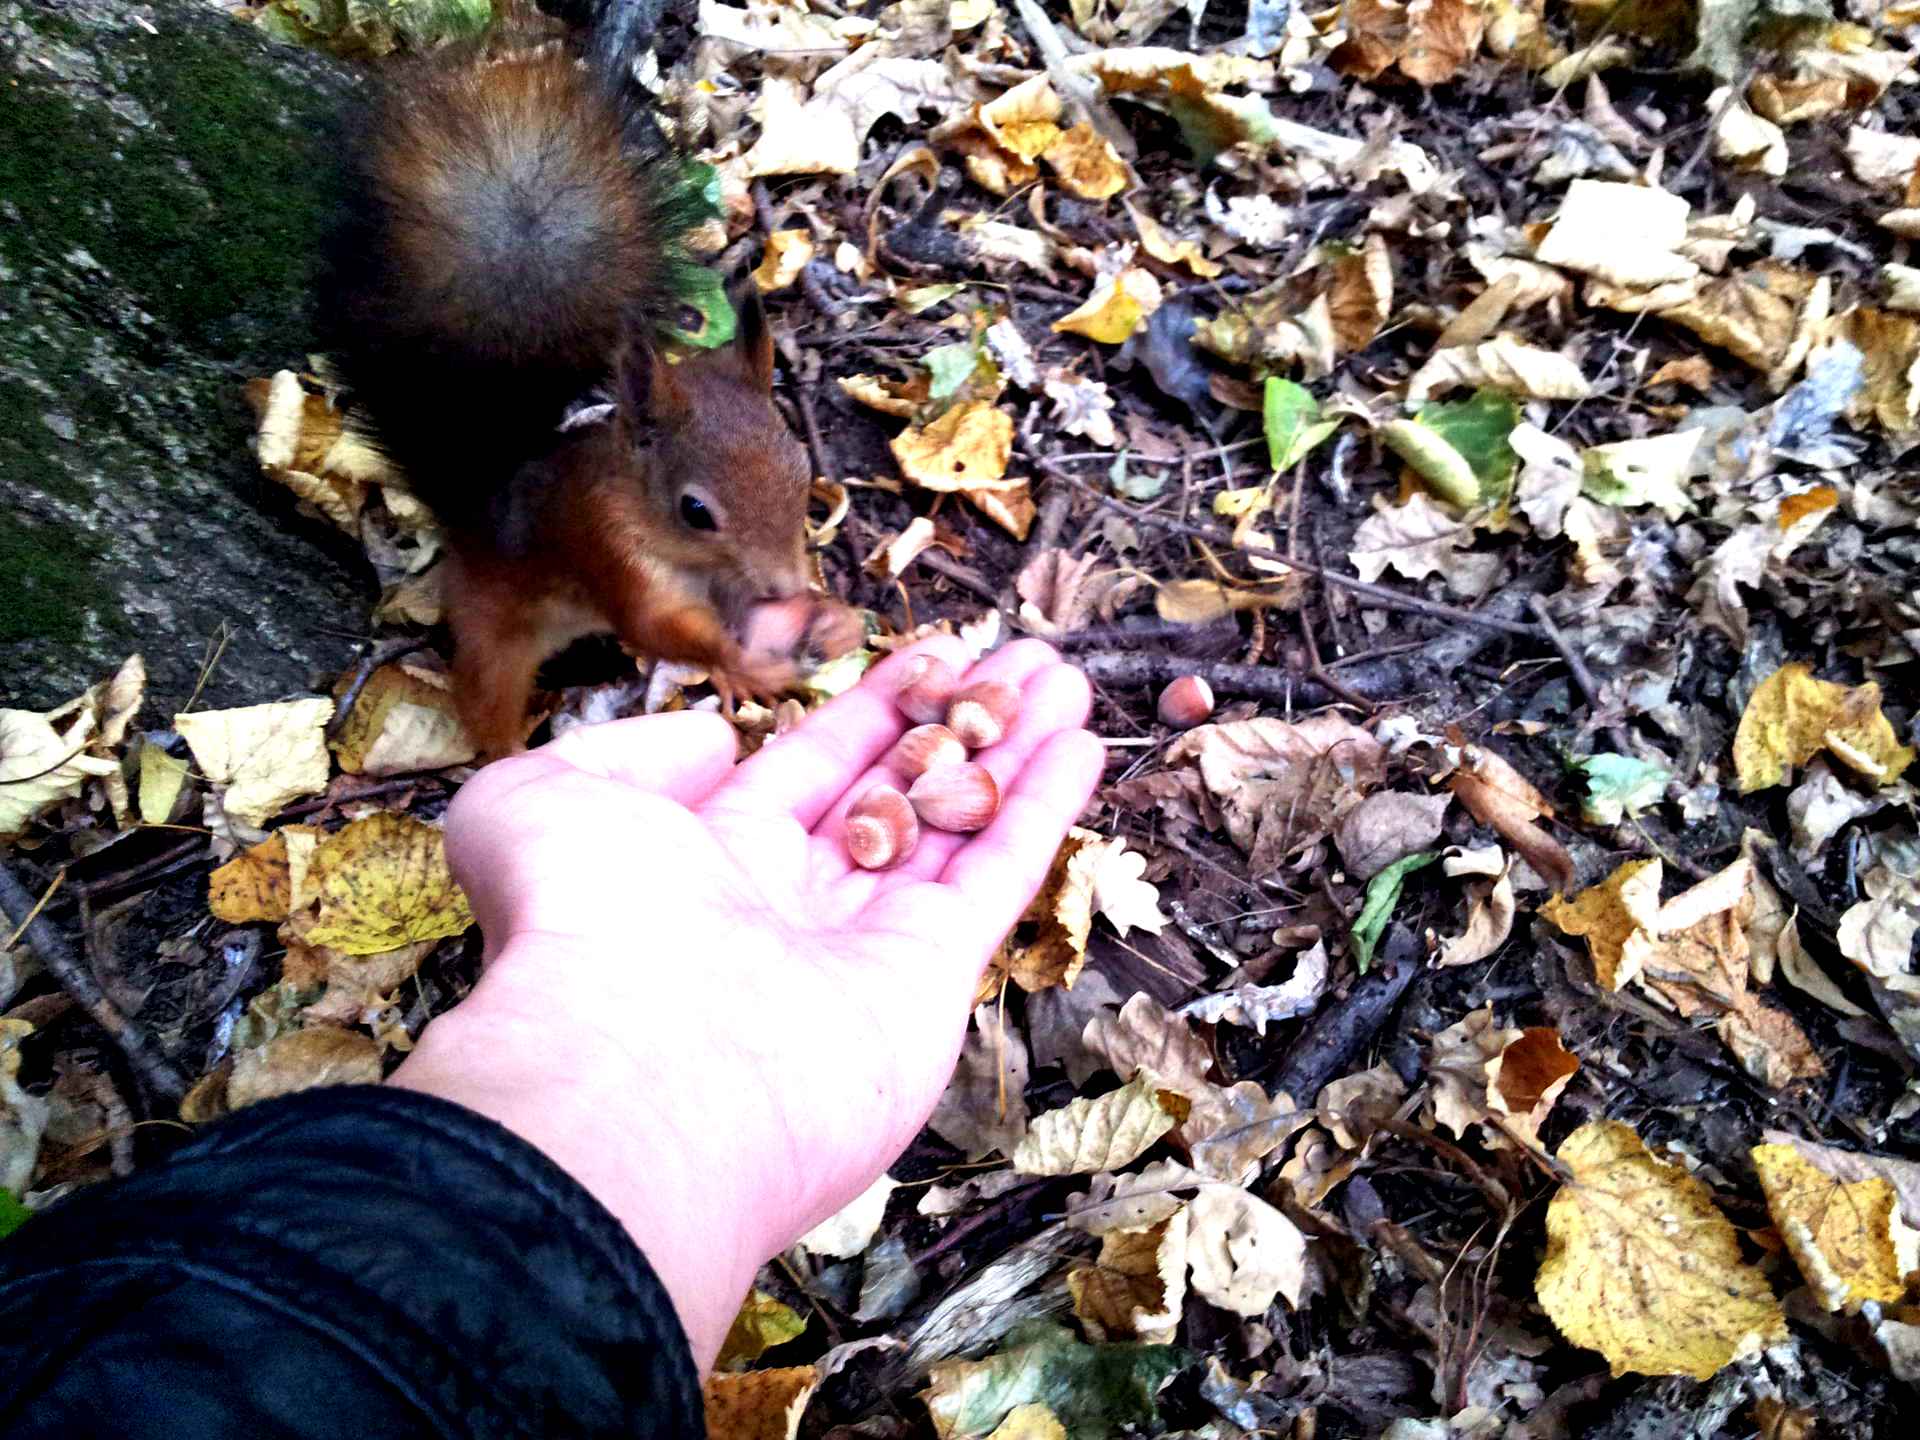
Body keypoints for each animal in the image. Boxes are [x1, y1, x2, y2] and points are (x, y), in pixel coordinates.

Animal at [316, 0, 856, 760]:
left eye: (803, 475)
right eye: (695, 511)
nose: (784, 585)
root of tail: (475, 514)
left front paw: (821, 614)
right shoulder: (608, 549)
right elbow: (656, 627)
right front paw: (744, 662)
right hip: (494, 627)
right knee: (485, 700)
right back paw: (508, 756)